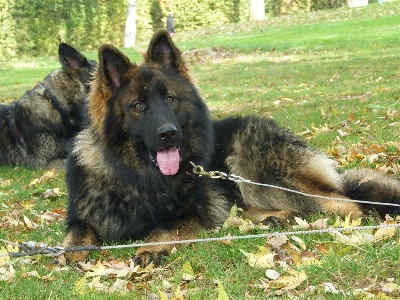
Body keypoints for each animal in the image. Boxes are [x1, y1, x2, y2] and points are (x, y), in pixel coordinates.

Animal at [62, 29, 400, 266]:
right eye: (138, 105)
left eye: (169, 99)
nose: (169, 134)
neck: (138, 176)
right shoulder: (82, 215)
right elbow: (76, 233)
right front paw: (71, 252)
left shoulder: (195, 214)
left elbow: (165, 229)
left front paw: (149, 247)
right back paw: (272, 219)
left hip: (255, 170)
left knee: (343, 202)